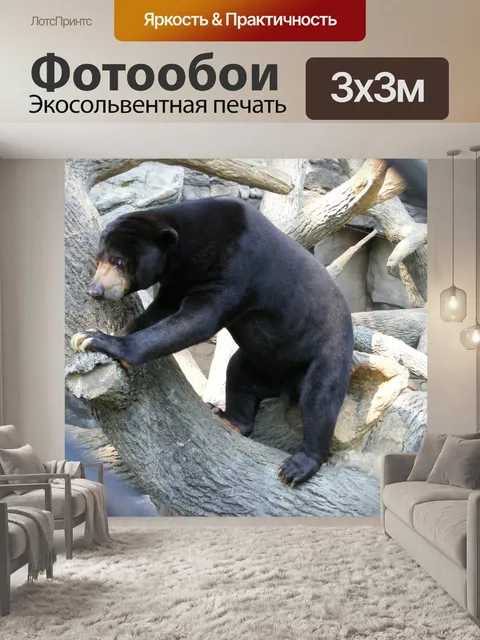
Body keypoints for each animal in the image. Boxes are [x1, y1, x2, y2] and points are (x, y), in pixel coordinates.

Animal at [71, 196, 354, 487]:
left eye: (119, 261)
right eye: (99, 260)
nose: (95, 290)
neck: (186, 255)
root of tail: (285, 385)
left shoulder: (236, 268)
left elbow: (198, 320)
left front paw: (98, 341)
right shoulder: (179, 280)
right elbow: (162, 310)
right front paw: (96, 334)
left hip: (325, 351)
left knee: (320, 399)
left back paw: (298, 466)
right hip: (259, 363)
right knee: (239, 375)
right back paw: (230, 419)